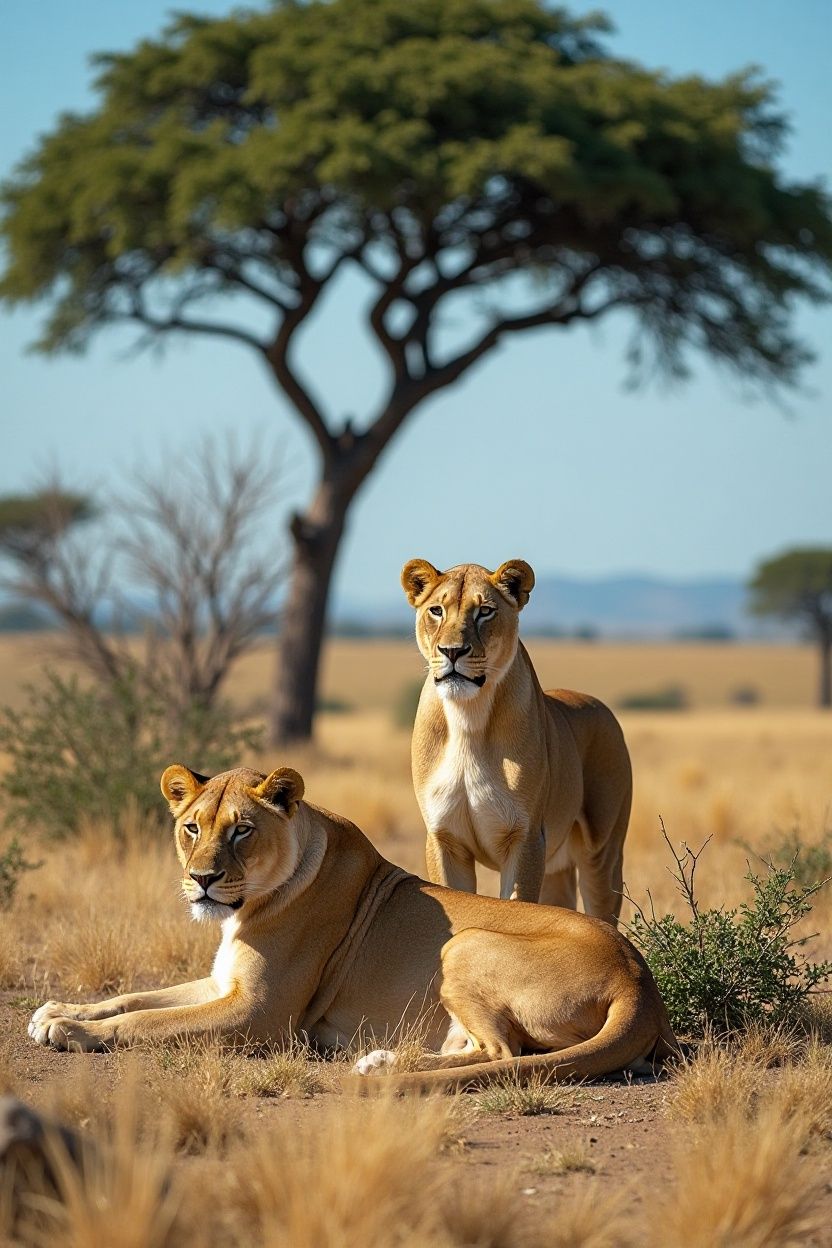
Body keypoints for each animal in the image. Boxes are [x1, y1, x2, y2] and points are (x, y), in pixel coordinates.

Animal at [29, 764, 676, 1089]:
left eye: (242, 830)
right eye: (192, 827)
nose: (203, 879)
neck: (245, 907)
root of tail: (639, 981)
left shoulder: (262, 1014)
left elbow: (147, 1021)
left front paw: (73, 1032)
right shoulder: (222, 984)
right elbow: (137, 996)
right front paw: (57, 1010)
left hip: (464, 943)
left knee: (503, 1052)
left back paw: (382, 1066)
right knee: (480, 1049)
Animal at [402, 558, 632, 923]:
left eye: (484, 611)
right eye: (436, 610)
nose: (452, 651)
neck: (468, 716)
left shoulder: (525, 838)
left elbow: (519, 905)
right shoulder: (444, 838)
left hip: (602, 852)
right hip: (556, 866)